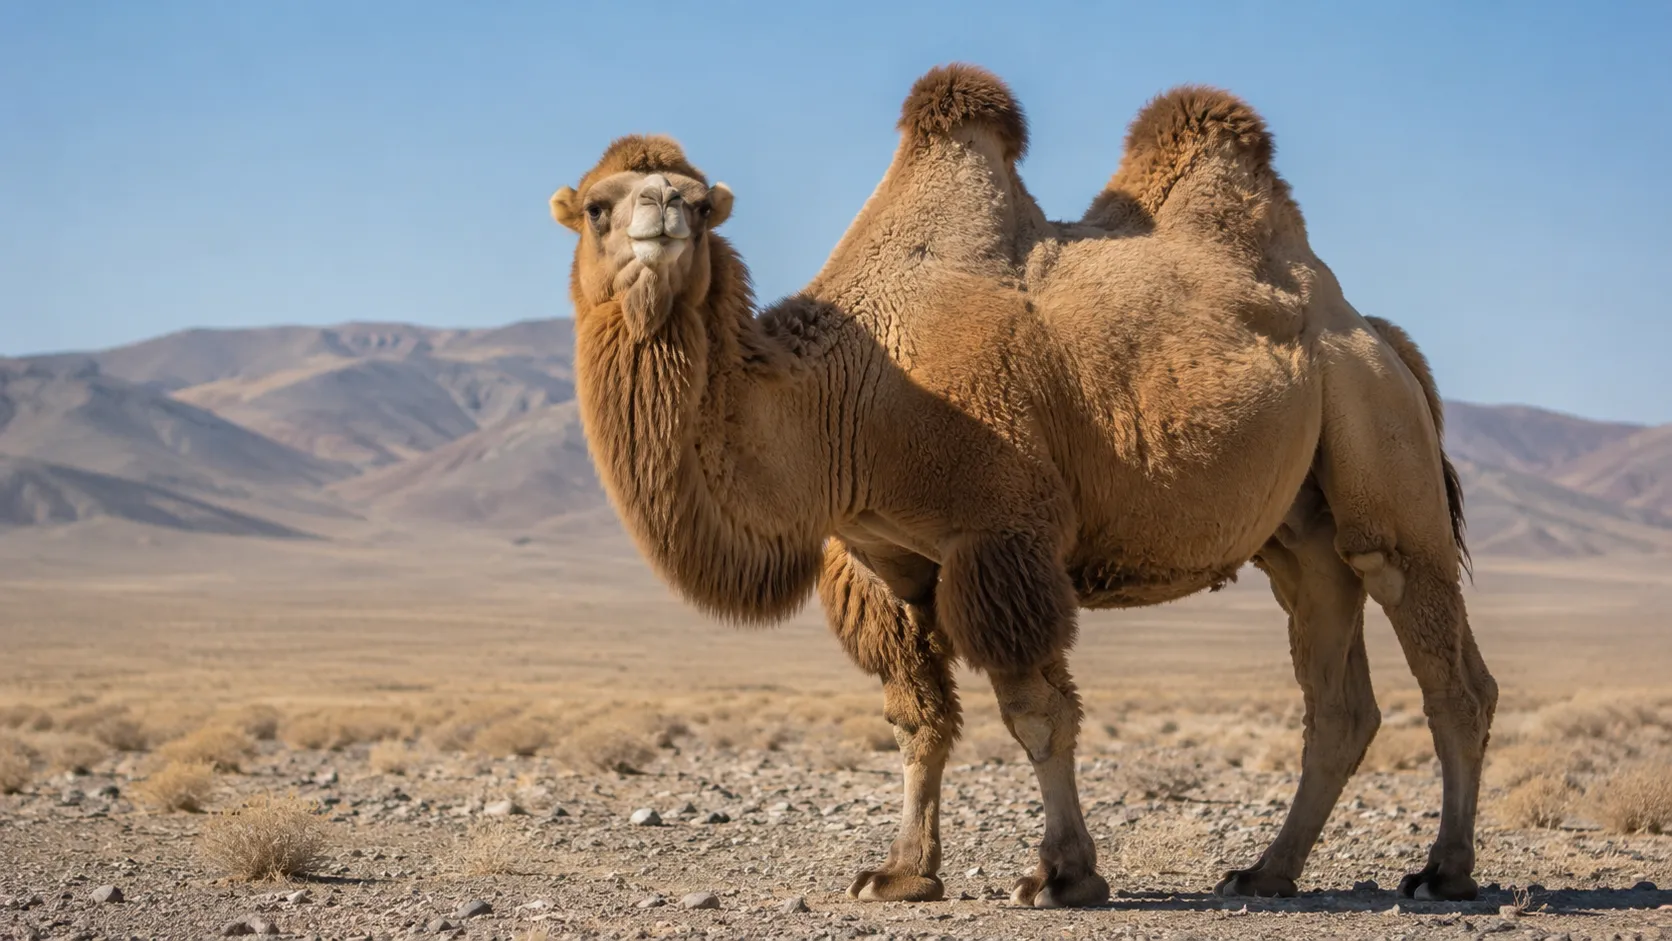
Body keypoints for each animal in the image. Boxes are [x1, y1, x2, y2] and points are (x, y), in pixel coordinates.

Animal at [547, 64, 1497, 907]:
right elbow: (917, 720)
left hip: (1381, 448)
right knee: (1336, 695)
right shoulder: (885, 565)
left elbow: (1036, 712)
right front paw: (901, 873)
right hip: (1300, 531)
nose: (663, 214)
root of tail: (1379, 335)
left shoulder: (999, 538)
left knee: (1446, 666)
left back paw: (1442, 871)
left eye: (700, 202)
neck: (847, 399)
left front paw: (1062, 875)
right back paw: (1266, 871)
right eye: (598, 205)